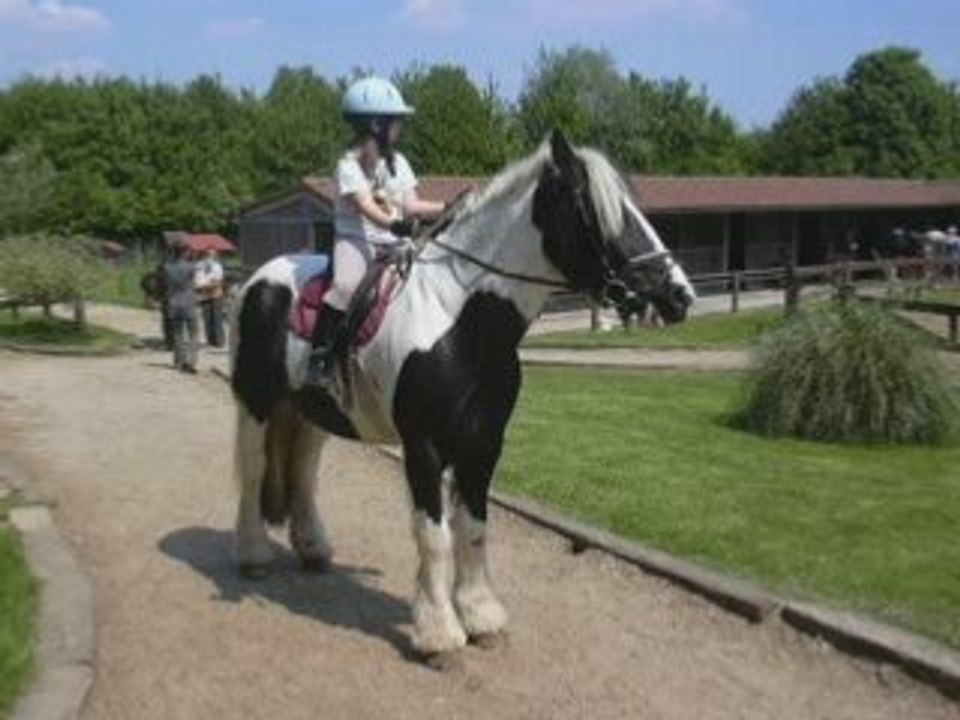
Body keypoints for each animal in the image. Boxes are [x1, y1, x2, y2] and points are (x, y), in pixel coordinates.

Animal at [228, 131, 695, 658]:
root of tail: (257, 279)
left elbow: (473, 528)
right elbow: (434, 534)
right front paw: (438, 632)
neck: (459, 319)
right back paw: (253, 556)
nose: (679, 295)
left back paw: (313, 549)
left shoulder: (485, 442)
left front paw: (480, 615)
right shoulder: (423, 445)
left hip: (310, 413)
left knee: (304, 471)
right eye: (598, 211)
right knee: (253, 471)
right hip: (255, 403)